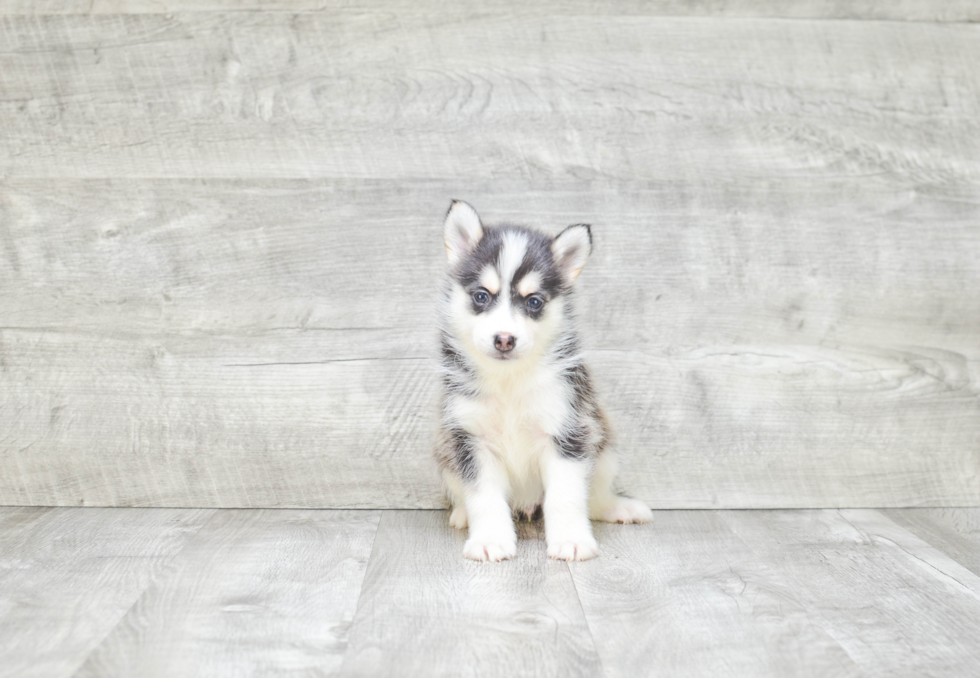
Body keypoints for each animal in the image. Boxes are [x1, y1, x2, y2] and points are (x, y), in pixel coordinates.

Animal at [434, 202, 652, 564]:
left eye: (533, 301)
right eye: (481, 296)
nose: (504, 339)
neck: (509, 380)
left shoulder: (567, 432)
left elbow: (566, 496)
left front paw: (572, 540)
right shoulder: (470, 441)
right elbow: (484, 497)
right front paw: (490, 540)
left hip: (602, 446)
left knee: (594, 498)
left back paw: (618, 507)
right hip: (445, 456)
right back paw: (462, 515)